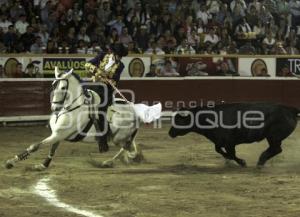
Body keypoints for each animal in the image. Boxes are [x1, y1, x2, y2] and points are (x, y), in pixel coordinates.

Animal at [4, 67, 143, 170]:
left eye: (63, 87)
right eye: (53, 85)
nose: (54, 107)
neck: (69, 108)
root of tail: (134, 110)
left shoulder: (59, 134)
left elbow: (35, 146)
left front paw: (11, 162)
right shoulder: (57, 134)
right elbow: (52, 149)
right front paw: (43, 165)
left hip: (118, 138)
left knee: (125, 147)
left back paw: (111, 161)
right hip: (120, 137)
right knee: (129, 146)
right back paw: (122, 159)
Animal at [169, 102, 300, 167]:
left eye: (178, 120)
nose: (170, 133)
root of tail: (290, 110)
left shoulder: (229, 143)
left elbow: (232, 154)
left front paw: (242, 162)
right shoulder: (219, 142)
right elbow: (219, 150)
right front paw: (229, 161)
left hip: (274, 137)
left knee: (276, 149)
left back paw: (260, 161)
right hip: (273, 138)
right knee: (275, 149)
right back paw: (261, 161)